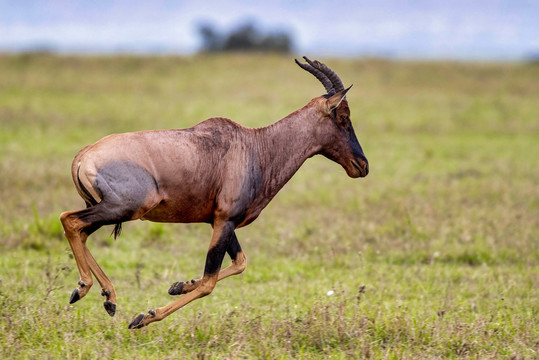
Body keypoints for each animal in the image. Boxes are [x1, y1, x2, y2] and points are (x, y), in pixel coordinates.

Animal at [60, 57, 372, 330]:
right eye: (343, 117)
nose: (362, 165)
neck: (255, 146)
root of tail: (82, 156)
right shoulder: (225, 220)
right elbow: (210, 281)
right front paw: (144, 317)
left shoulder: (222, 221)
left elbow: (239, 263)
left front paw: (178, 285)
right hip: (123, 208)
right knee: (69, 220)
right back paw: (85, 289)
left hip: (109, 209)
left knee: (81, 231)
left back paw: (107, 298)